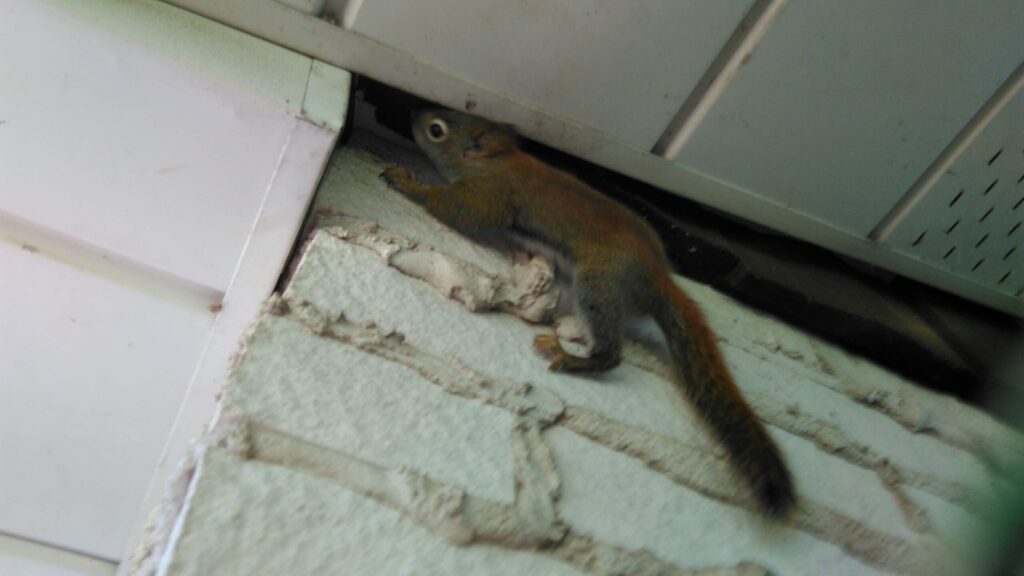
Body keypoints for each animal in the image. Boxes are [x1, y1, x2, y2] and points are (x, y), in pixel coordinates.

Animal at [380, 108, 795, 517]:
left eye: (437, 129)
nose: (414, 112)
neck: (495, 159)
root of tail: (658, 277)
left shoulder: (493, 192)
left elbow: (464, 211)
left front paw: (409, 183)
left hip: (598, 283)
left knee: (610, 351)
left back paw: (577, 357)